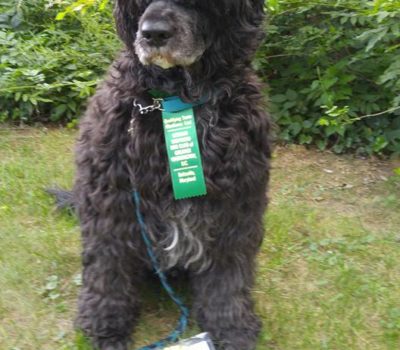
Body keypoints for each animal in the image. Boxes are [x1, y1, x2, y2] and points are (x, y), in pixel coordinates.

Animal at [66, 0, 272, 350]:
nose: (154, 34)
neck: (177, 101)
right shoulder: (111, 199)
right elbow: (108, 266)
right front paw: (106, 326)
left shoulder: (237, 205)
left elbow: (228, 274)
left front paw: (231, 326)